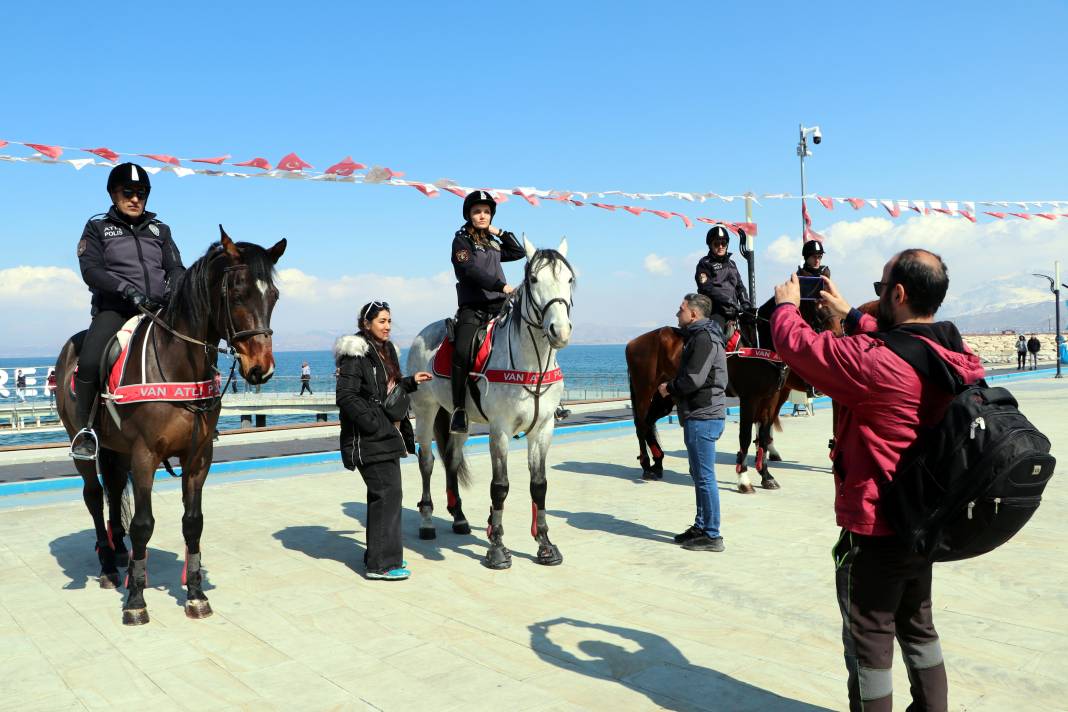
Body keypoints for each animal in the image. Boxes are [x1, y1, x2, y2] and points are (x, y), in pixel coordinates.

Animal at [55, 231, 284, 627]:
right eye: (237, 293)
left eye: (274, 295)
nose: (260, 369)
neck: (179, 364)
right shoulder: (145, 455)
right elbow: (144, 524)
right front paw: (135, 600)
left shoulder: (198, 457)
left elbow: (193, 523)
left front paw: (195, 594)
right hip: (82, 442)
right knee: (94, 495)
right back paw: (107, 566)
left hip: (117, 450)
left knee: (113, 488)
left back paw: (118, 552)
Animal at [405, 236, 576, 572]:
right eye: (534, 279)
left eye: (569, 280)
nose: (559, 331)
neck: (531, 364)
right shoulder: (500, 430)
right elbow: (500, 486)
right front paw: (497, 548)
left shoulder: (543, 429)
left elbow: (539, 485)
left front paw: (545, 545)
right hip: (425, 410)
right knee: (427, 461)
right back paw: (427, 521)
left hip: (458, 420)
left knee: (452, 461)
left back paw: (459, 518)